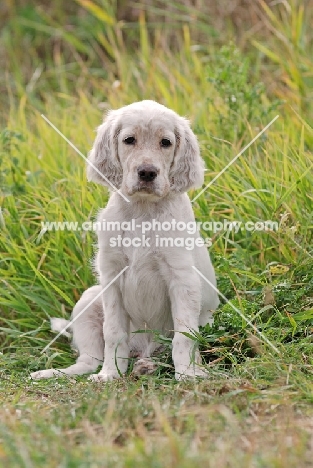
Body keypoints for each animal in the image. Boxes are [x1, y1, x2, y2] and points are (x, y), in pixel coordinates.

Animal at [31, 100, 217, 382]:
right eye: (129, 140)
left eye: (166, 142)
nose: (147, 172)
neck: (142, 210)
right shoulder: (112, 276)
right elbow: (113, 332)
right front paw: (110, 374)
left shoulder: (182, 278)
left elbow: (184, 335)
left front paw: (187, 373)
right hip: (89, 299)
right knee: (88, 361)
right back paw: (55, 372)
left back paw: (148, 366)